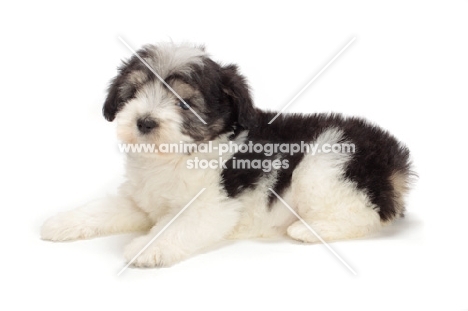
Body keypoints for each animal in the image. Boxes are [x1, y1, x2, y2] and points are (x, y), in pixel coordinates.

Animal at [41, 42, 414, 268]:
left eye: (184, 102)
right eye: (133, 93)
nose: (144, 122)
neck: (178, 156)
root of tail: (395, 162)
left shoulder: (212, 205)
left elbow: (175, 225)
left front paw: (147, 248)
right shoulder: (139, 200)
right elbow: (101, 209)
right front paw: (61, 222)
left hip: (326, 164)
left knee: (367, 214)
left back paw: (308, 230)